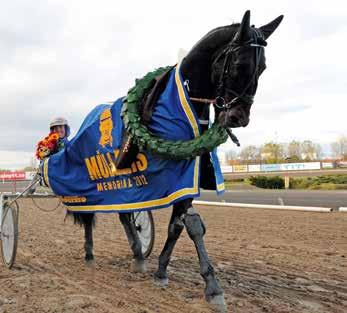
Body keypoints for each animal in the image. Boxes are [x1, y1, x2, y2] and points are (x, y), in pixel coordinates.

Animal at [75, 11, 282, 310]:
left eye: (263, 67)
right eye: (239, 64)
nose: (238, 118)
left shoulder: (186, 179)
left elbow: (180, 226)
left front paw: (162, 271)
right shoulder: (170, 178)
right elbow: (191, 225)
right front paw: (213, 288)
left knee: (124, 215)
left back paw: (138, 257)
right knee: (97, 213)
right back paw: (98, 254)